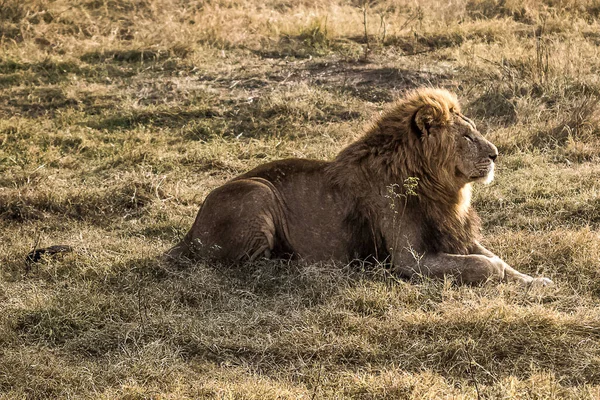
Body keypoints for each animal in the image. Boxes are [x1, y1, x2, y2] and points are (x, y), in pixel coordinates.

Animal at [166, 89, 552, 286]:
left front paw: (536, 282)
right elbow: (484, 266)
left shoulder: (454, 235)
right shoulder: (410, 261)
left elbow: (496, 258)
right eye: (467, 137)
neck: (443, 188)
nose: (496, 154)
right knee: (248, 266)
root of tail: (188, 233)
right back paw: (300, 267)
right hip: (258, 190)